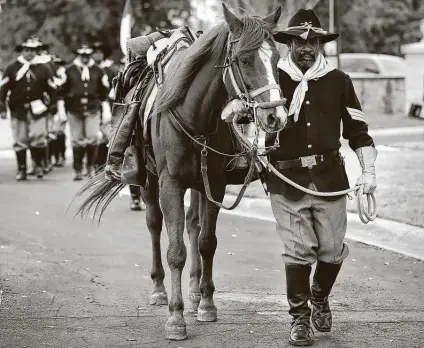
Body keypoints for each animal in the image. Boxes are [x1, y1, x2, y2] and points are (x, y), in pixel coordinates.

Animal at [75, 2, 288, 340]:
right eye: (244, 59)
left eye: (278, 58)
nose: (275, 117)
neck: (195, 114)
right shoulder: (170, 184)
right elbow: (175, 251)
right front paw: (176, 318)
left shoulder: (214, 185)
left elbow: (206, 243)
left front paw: (206, 304)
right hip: (149, 183)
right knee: (154, 226)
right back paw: (160, 290)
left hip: (198, 185)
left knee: (193, 226)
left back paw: (196, 293)